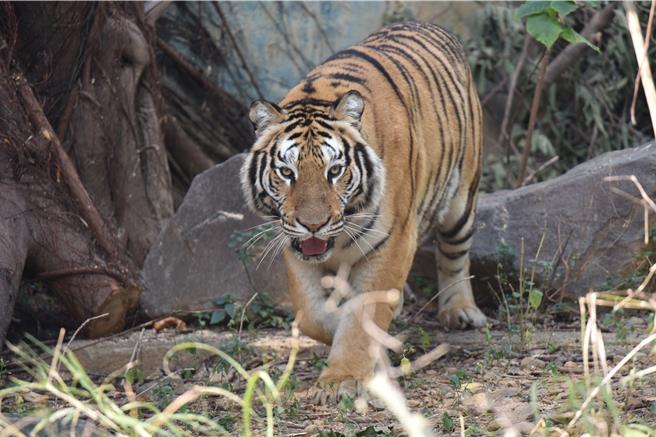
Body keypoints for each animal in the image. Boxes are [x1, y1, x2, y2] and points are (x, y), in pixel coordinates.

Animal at [241, 21, 485, 397]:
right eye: (286, 172)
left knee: (454, 255)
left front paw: (341, 379)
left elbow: (362, 314)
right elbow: (313, 315)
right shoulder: (295, 248)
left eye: (334, 170)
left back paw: (460, 311)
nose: (313, 225)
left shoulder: (393, 241)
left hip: (461, 198)